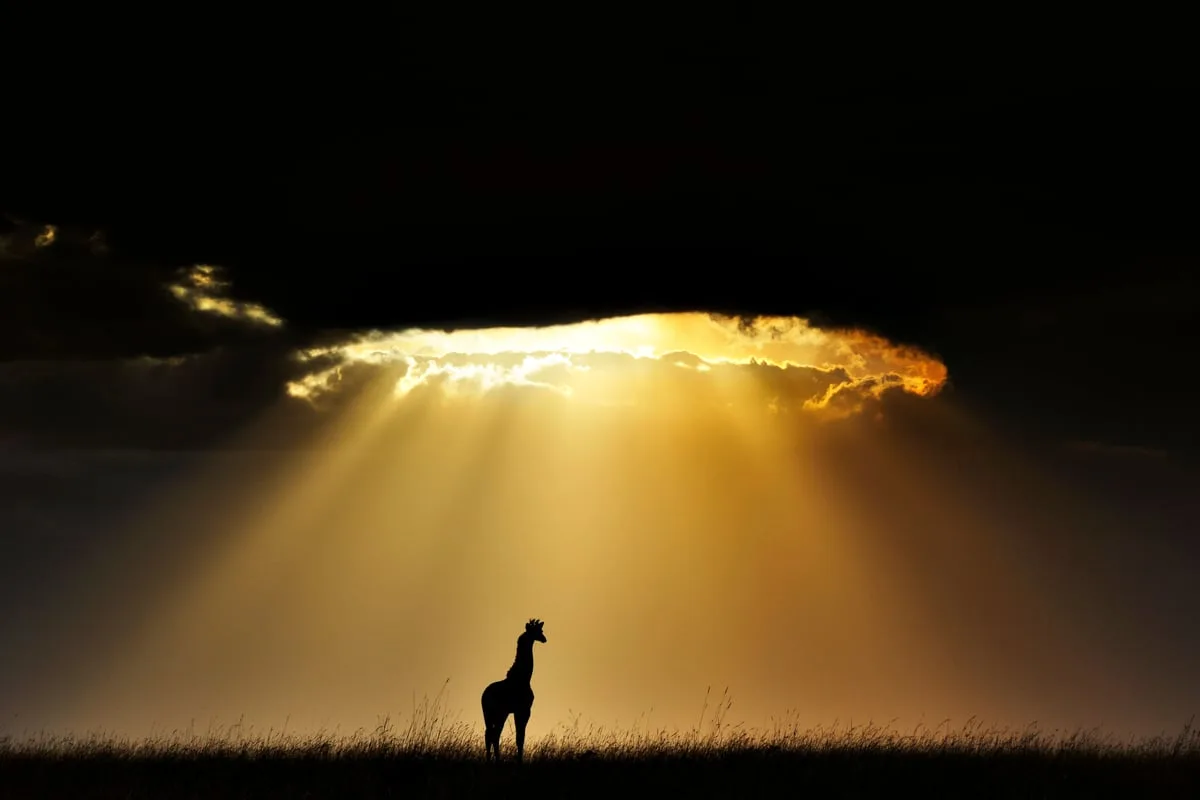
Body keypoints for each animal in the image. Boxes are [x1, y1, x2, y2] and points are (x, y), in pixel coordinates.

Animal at [481, 618, 547, 762]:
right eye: (538, 631)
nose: (545, 639)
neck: (524, 678)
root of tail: (484, 697)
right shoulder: (524, 710)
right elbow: (520, 738)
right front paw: (520, 761)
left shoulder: (516, 711)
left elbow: (519, 737)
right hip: (499, 713)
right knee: (494, 734)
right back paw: (496, 760)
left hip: (489, 713)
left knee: (490, 734)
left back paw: (490, 760)